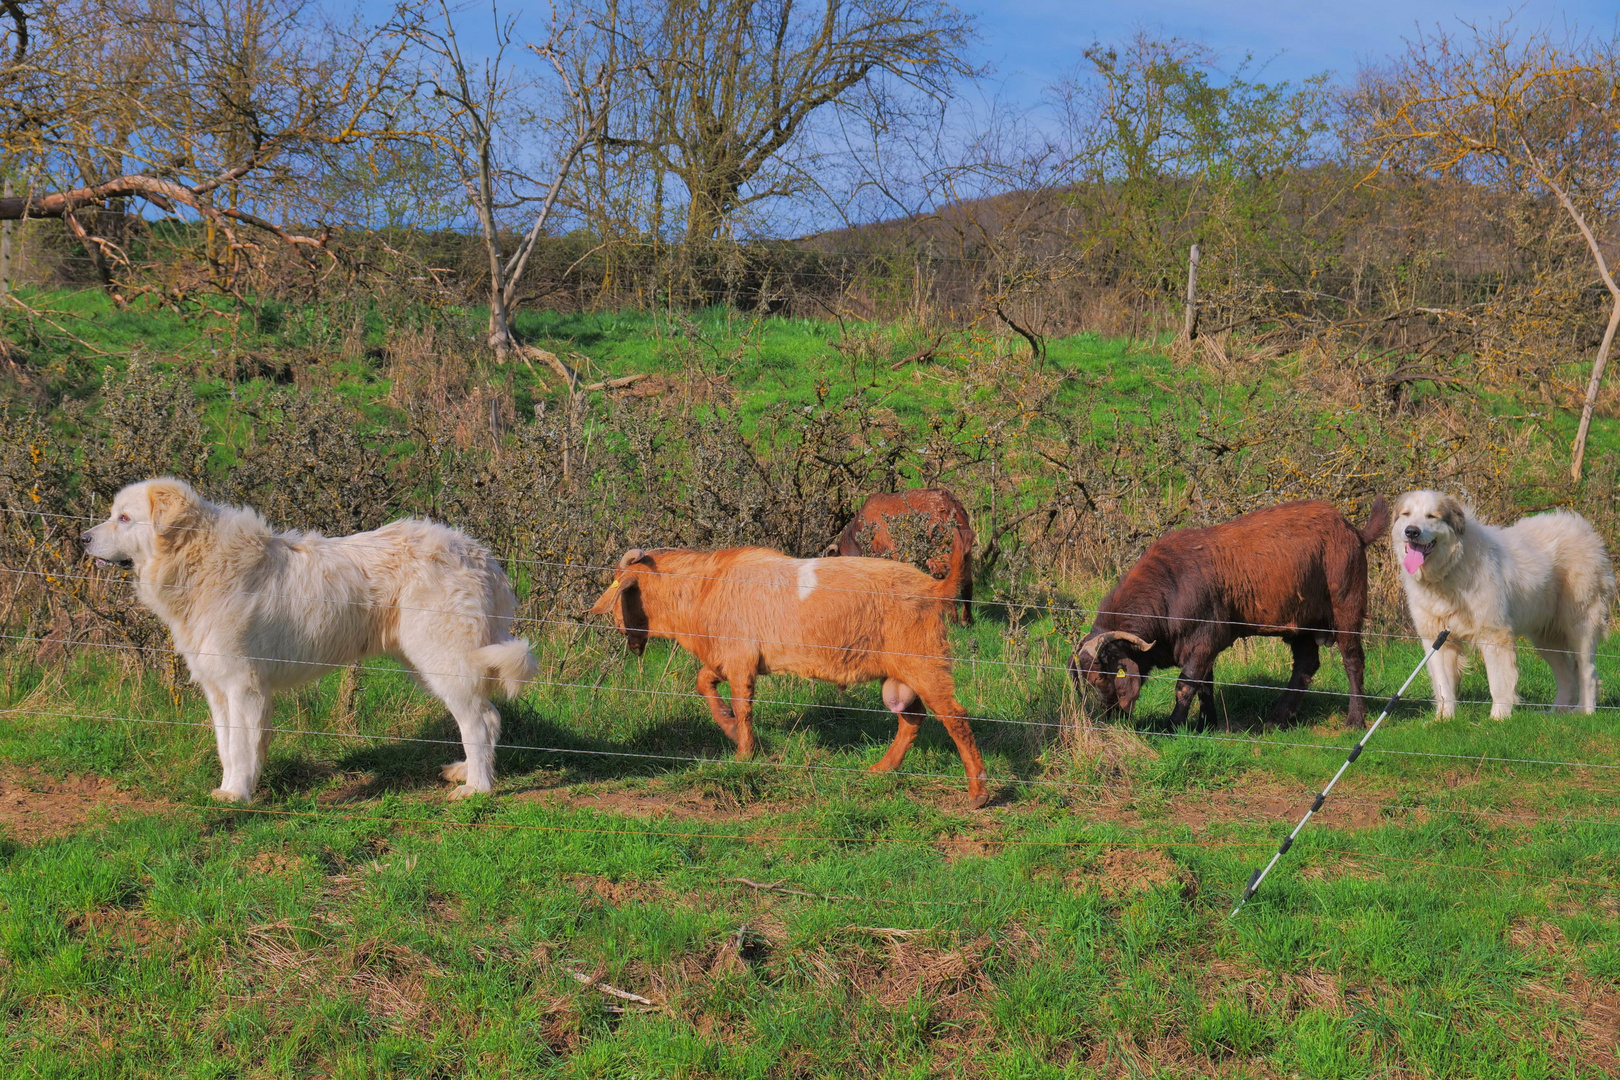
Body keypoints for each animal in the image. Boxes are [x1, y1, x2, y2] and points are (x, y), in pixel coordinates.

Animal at [80, 479, 537, 803]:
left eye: (124, 518)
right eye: (113, 514)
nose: (83, 538)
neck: (198, 561)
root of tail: (480, 555)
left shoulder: (244, 685)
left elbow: (241, 746)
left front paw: (238, 795)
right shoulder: (219, 688)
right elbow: (228, 745)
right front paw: (230, 788)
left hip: (442, 658)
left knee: (478, 720)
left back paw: (477, 788)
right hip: (429, 661)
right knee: (488, 717)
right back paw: (467, 771)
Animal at [583, 544, 984, 806]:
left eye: (621, 590)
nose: (617, 627)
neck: (704, 588)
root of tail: (933, 588)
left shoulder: (741, 659)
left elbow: (742, 705)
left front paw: (743, 753)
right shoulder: (728, 657)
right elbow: (704, 682)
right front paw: (730, 729)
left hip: (924, 662)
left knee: (954, 716)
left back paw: (978, 793)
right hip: (900, 675)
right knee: (912, 718)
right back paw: (881, 770)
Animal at [835, 488, 972, 625]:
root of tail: (951, 504)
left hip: (939, 551)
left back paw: (951, 619)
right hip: (964, 551)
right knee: (966, 582)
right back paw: (966, 620)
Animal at [1062, 501, 1393, 731]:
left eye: (1101, 676)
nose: (1109, 716)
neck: (1171, 585)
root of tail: (1351, 529)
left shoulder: (1205, 640)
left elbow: (1185, 685)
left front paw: (1172, 726)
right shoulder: (1202, 648)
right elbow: (1204, 685)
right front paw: (1206, 724)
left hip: (1347, 604)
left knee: (1352, 659)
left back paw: (1355, 720)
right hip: (1301, 623)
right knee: (1306, 665)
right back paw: (1276, 718)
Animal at [1393, 488, 1607, 718]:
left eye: (1431, 516)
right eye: (1406, 514)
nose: (1411, 531)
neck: (1450, 568)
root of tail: (1583, 528)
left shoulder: (1493, 634)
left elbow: (1498, 681)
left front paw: (1499, 717)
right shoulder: (1437, 638)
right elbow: (1444, 687)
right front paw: (1443, 719)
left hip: (1580, 624)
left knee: (1587, 672)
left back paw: (1585, 712)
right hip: (1545, 637)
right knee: (1566, 675)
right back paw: (1555, 713)